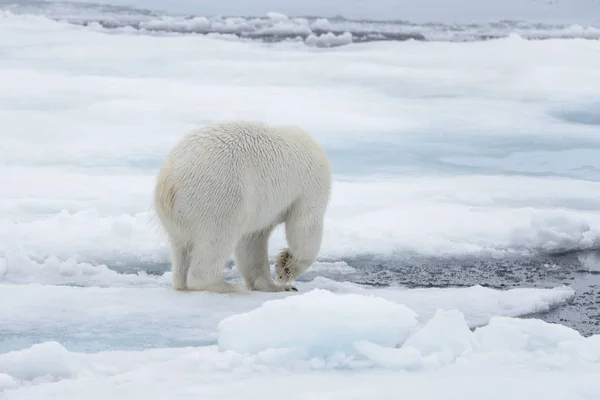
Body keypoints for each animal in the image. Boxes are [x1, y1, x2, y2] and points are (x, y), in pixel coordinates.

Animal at [155, 119, 330, 294]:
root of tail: (168, 180)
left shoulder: (258, 206)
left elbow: (252, 240)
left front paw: (276, 286)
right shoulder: (310, 185)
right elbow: (305, 226)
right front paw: (285, 269)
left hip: (178, 216)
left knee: (181, 248)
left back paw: (182, 282)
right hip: (220, 195)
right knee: (218, 237)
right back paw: (230, 286)